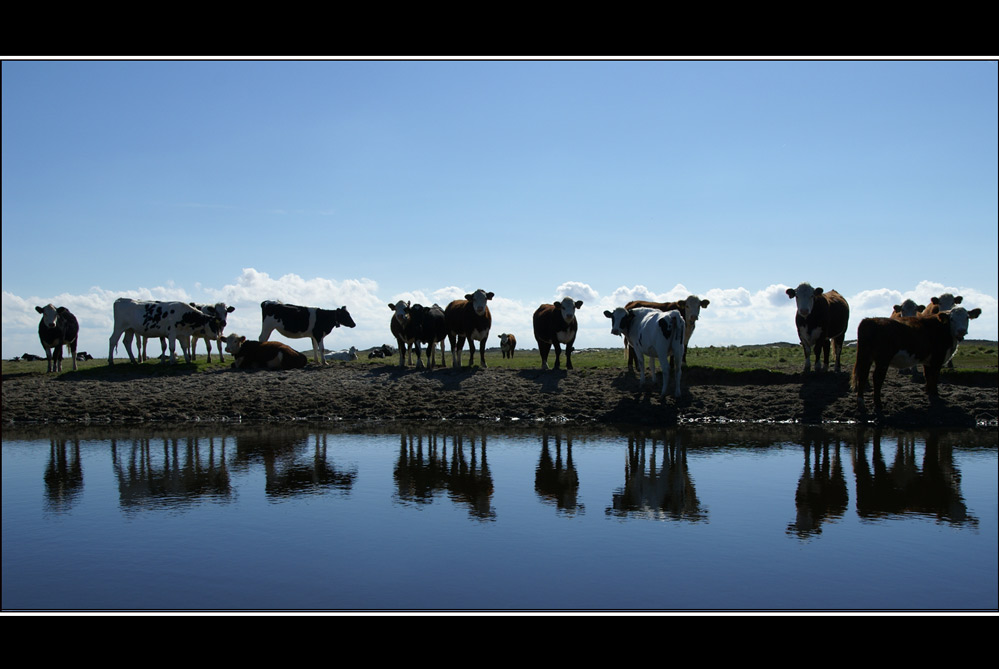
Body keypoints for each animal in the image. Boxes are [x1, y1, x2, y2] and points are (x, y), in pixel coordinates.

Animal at [852, 306, 984, 412]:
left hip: (866, 357)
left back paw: (861, 404)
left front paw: (929, 392)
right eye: (952, 319)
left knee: (863, 376)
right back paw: (878, 404)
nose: (961, 331)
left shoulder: (928, 361)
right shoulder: (937, 359)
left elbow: (928, 376)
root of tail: (870, 320)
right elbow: (934, 376)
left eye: (967, 317)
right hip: (882, 359)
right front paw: (935, 394)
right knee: (877, 378)